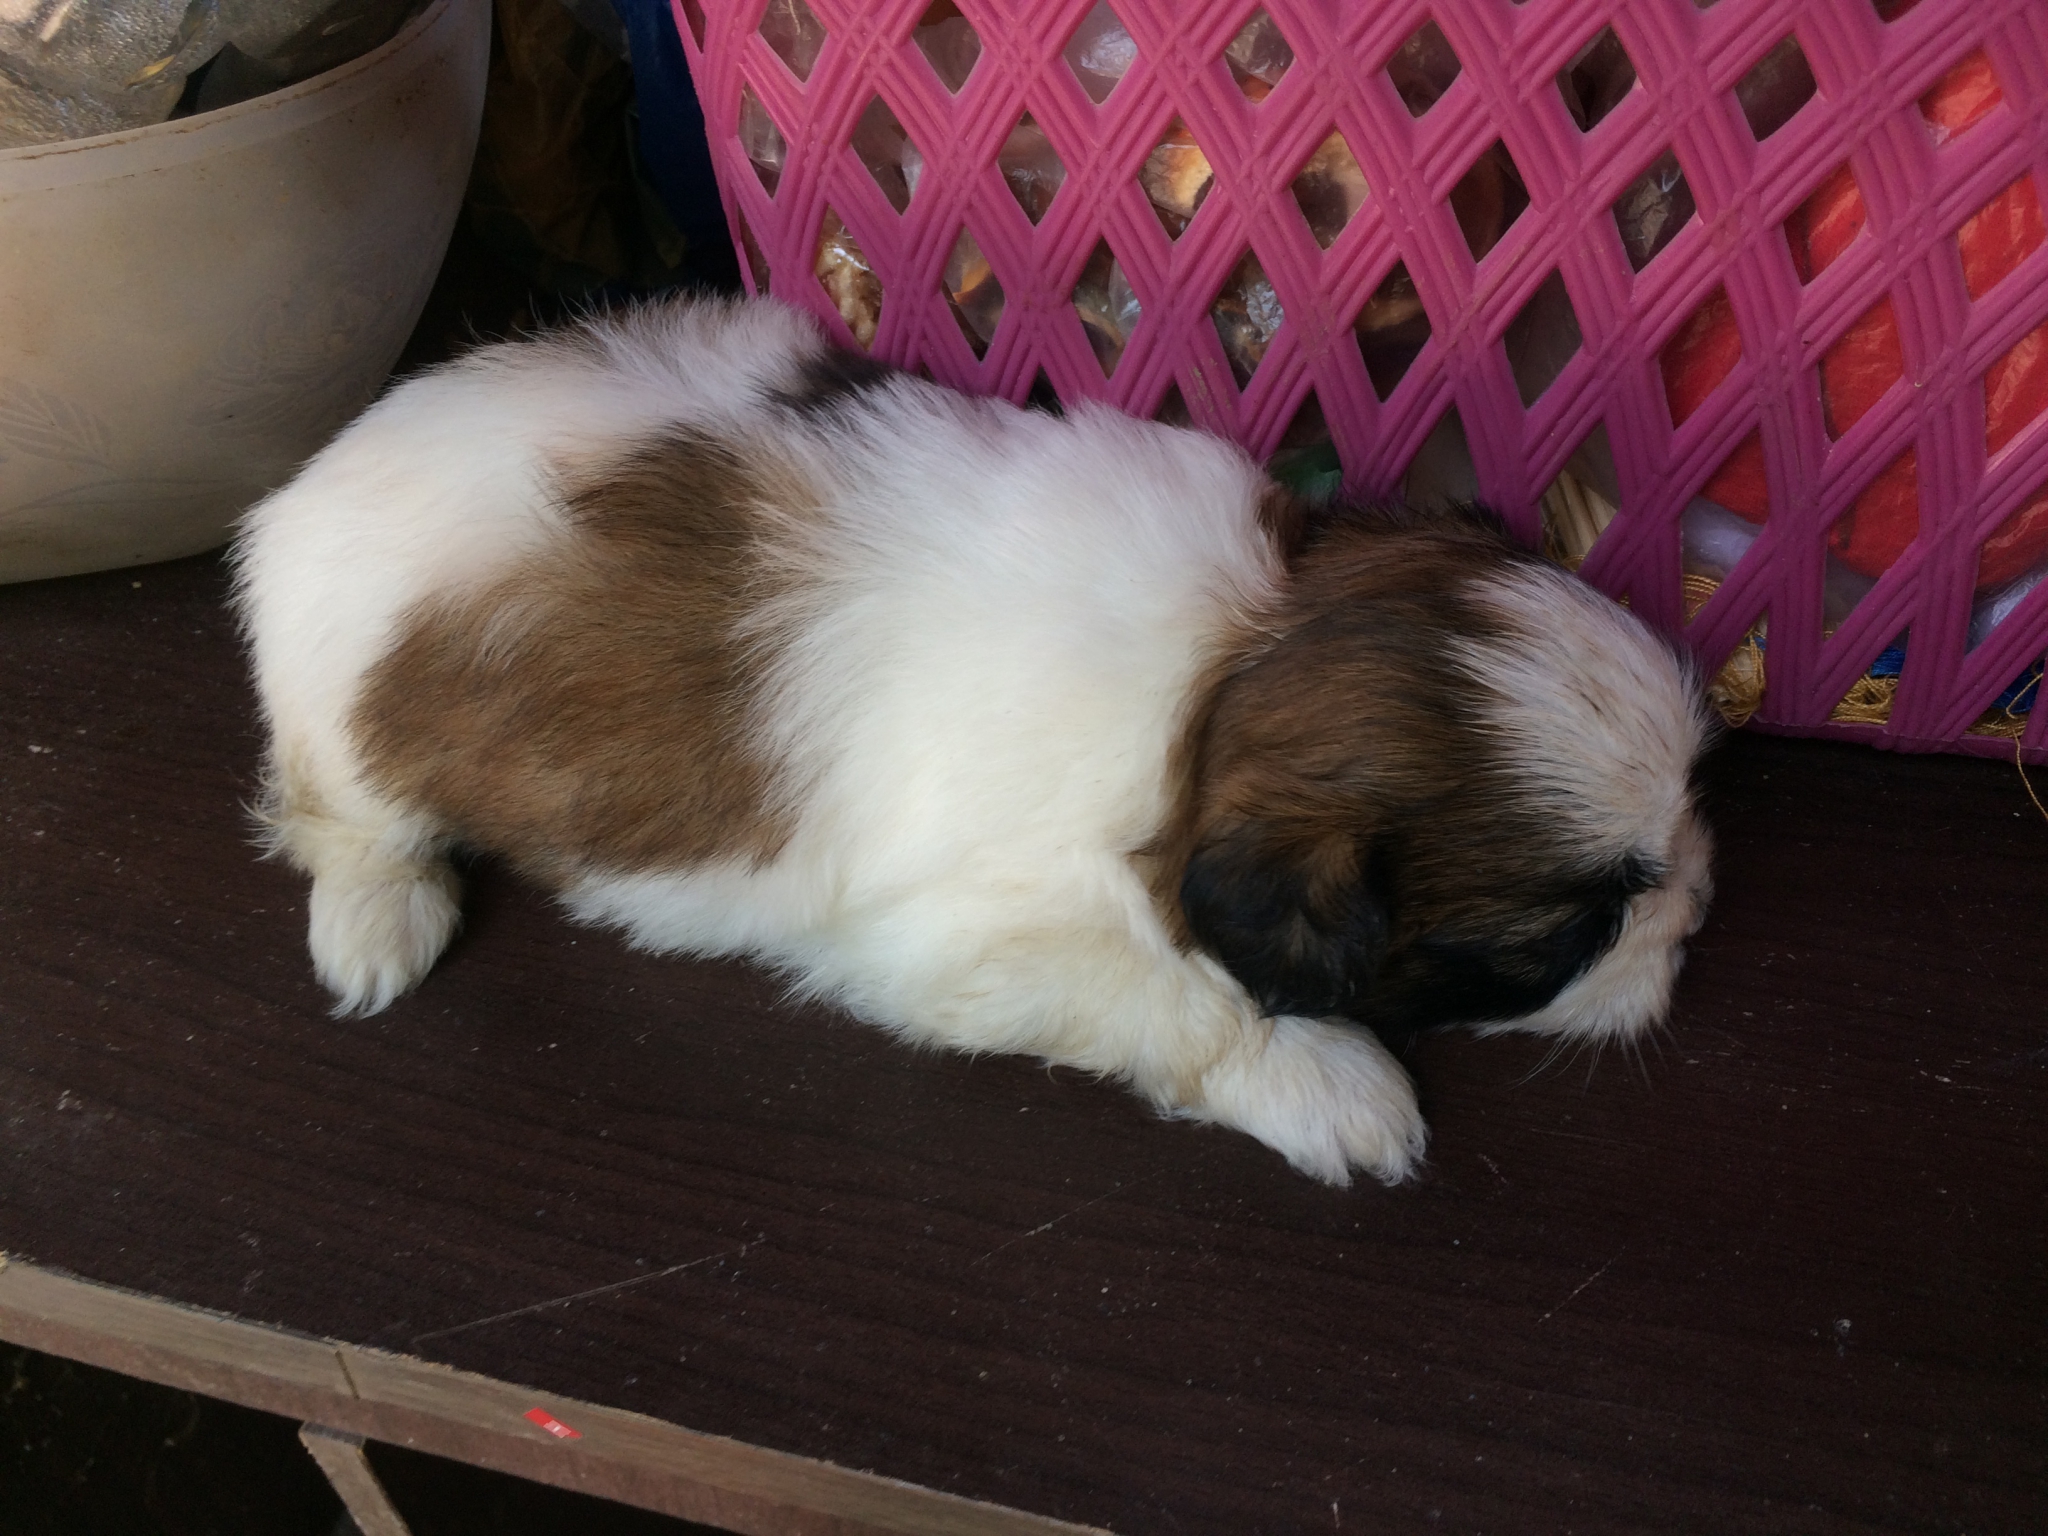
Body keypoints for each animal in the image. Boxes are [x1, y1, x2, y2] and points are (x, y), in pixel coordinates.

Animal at [233, 295, 1713, 1186]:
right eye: (1565, 937)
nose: (1697, 910)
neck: (1222, 668)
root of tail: (300, 485)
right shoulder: (974, 943)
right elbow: (1188, 1000)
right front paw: (1331, 1082)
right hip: (342, 725)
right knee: (343, 821)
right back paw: (377, 920)